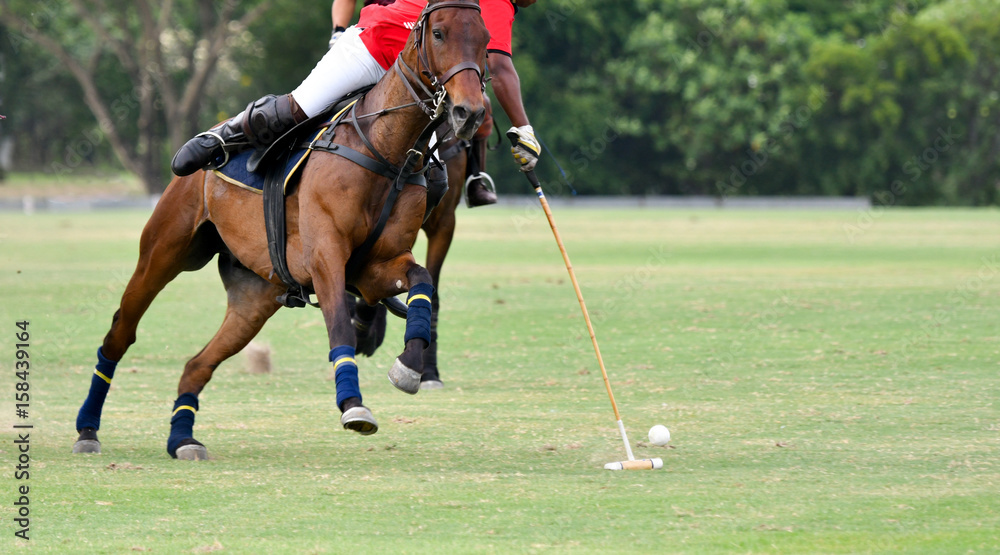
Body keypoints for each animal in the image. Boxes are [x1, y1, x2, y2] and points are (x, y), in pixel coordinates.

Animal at [71, 0, 492, 460]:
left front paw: (410, 366)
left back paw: (182, 438)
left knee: (197, 364)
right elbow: (339, 322)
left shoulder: (375, 265)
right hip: (162, 253)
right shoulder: (326, 256)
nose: (469, 112)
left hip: (254, 297)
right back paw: (88, 429)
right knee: (120, 334)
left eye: (485, 39)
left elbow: (421, 282)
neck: (385, 148)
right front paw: (353, 404)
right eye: (439, 33)